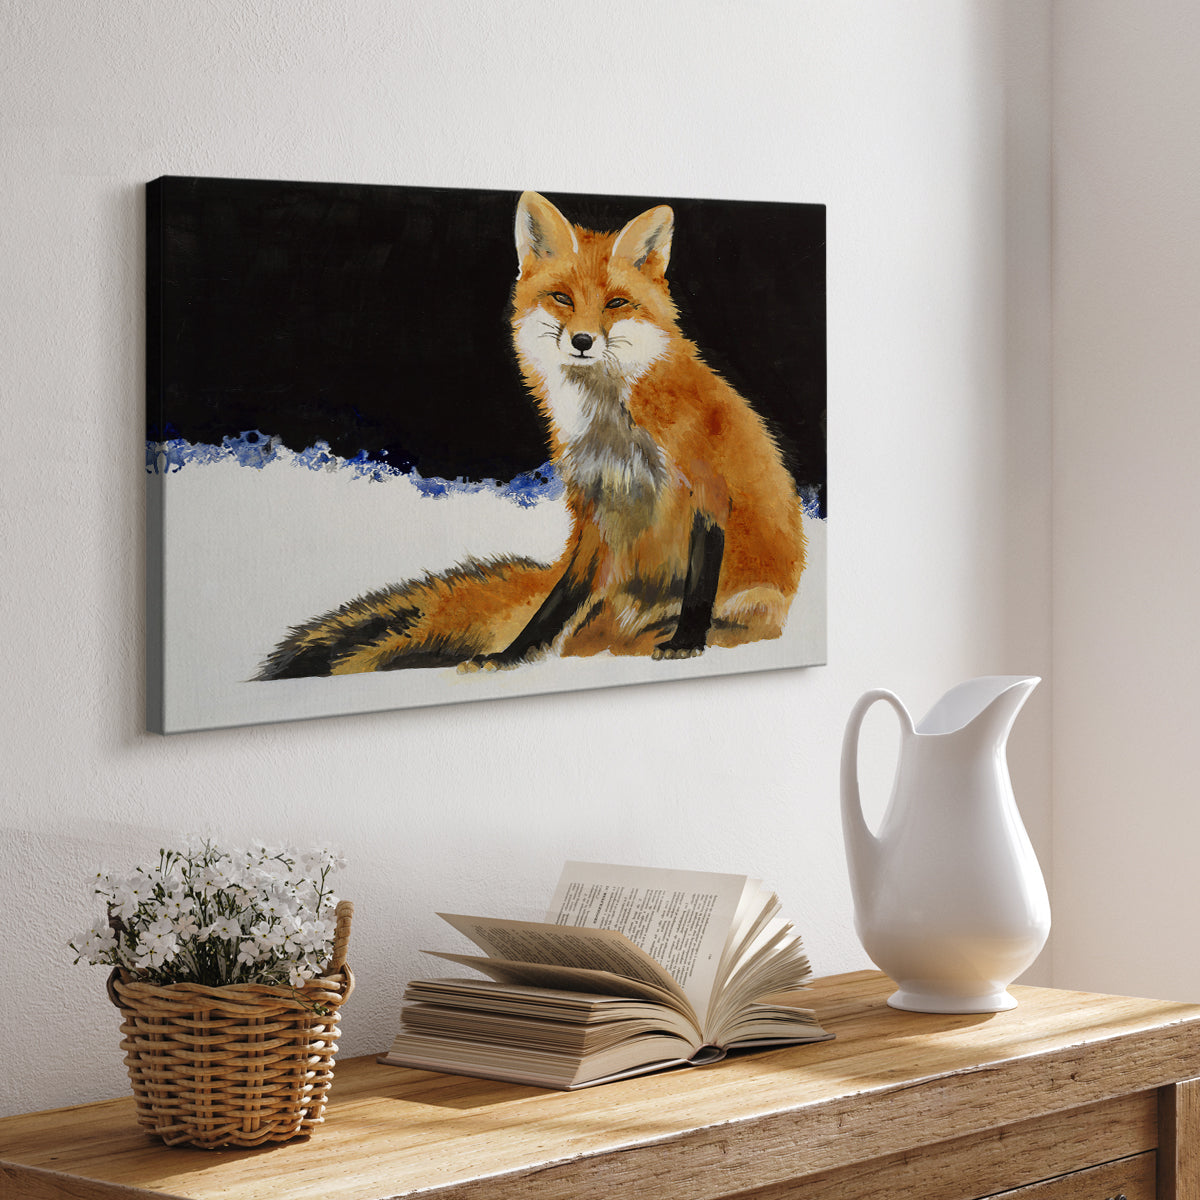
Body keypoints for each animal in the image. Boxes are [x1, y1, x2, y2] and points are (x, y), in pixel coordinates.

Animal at [256, 191, 807, 679]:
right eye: (562, 298)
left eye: (616, 303)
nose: (583, 341)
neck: (614, 428)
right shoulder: (594, 510)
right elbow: (556, 603)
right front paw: (512, 656)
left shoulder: (707, 491)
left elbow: (698, 585)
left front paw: (687, 641)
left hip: (757, 600)